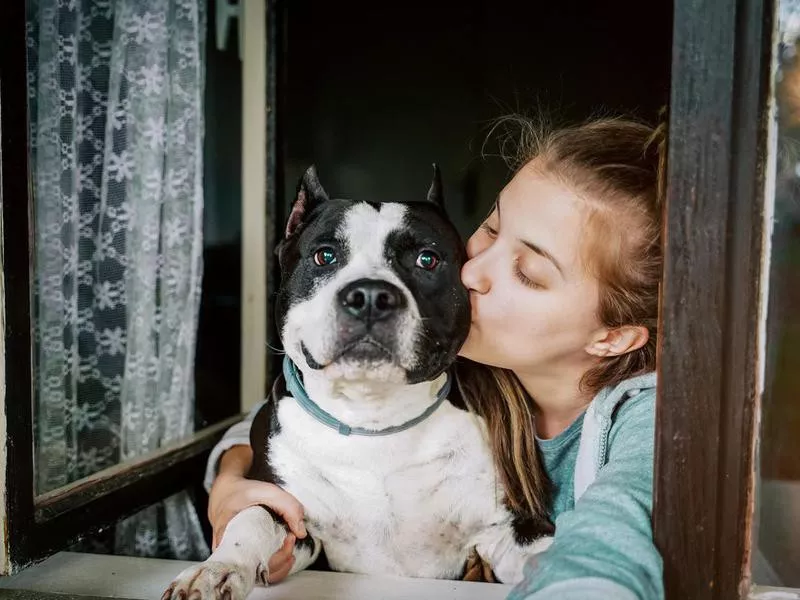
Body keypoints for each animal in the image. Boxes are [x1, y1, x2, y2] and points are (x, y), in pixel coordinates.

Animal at [161, 165, 552, 600]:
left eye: (427, 258)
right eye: (325, 256)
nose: (369, 296)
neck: (373, 421)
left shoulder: (510, 526)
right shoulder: (290, 515)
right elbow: (252, 519)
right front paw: (216, 570)